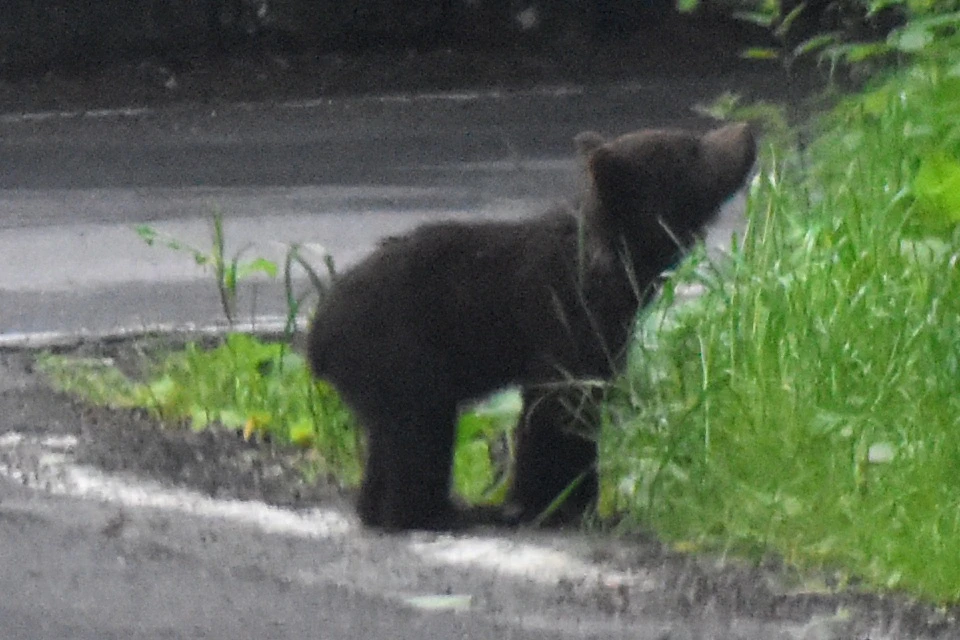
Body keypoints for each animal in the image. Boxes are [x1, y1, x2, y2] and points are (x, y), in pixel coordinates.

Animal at [307, 122, 756, 531]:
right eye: (690, 147)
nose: (747, 130)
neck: (621, 271)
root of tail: (317, 336)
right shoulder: (564, 321)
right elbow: (555, 412)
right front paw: (551, 502)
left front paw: (578, 500)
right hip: (402, 354)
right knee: (419, 434)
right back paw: (431, 513)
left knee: (391, 442)